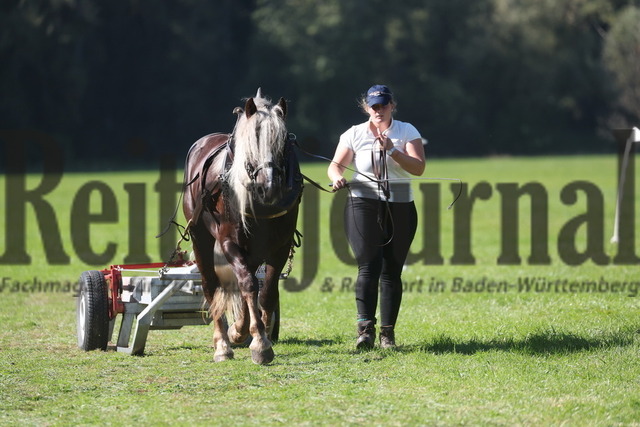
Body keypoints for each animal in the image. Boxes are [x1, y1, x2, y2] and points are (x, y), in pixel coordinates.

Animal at [182, 89, 302, 364]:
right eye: (253, 139)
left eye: (284, 142)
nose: (269, 186)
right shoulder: (229, 242)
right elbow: (247, 284)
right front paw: (256, 341)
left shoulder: (279, 245)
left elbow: (265, 291)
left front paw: (252, 332)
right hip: (201, 237)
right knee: (211, 285)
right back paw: (222, 345)